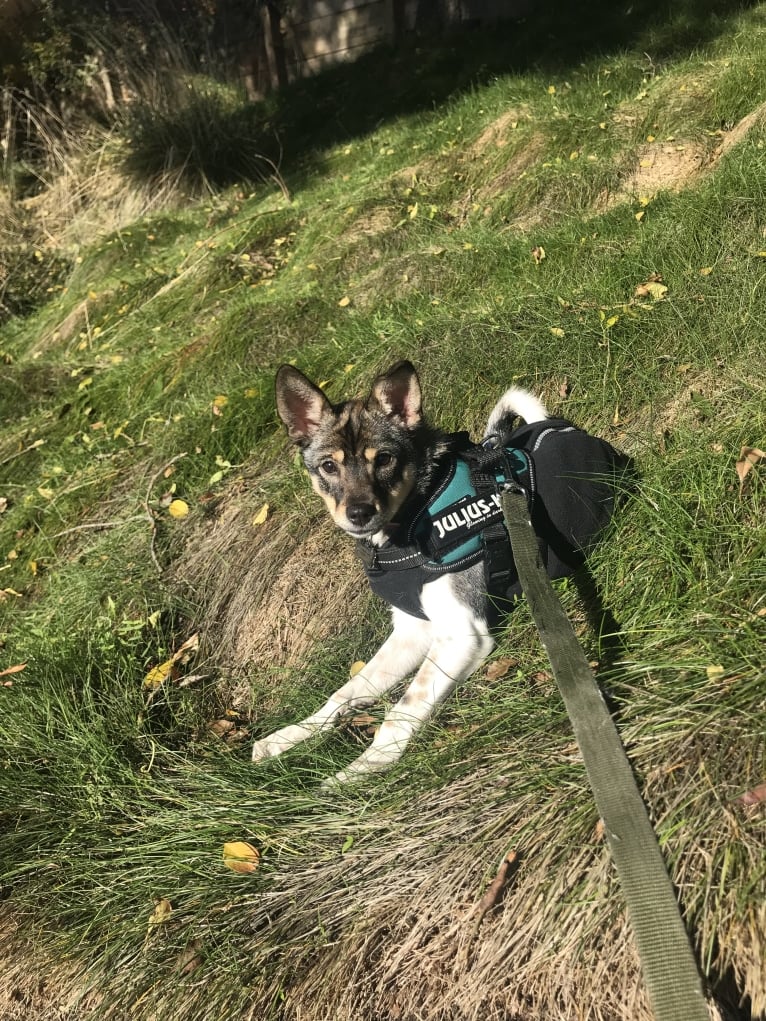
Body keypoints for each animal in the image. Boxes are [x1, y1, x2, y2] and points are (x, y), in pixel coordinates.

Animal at [252, 359, 629, 780]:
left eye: (384, 459)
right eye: (328, 466)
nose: (359, 513)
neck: (410, 523)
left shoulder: (461, 634)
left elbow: (400, 711)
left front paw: (359, 772)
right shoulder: (412, 629)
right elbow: (347, 690)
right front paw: (288, 737)